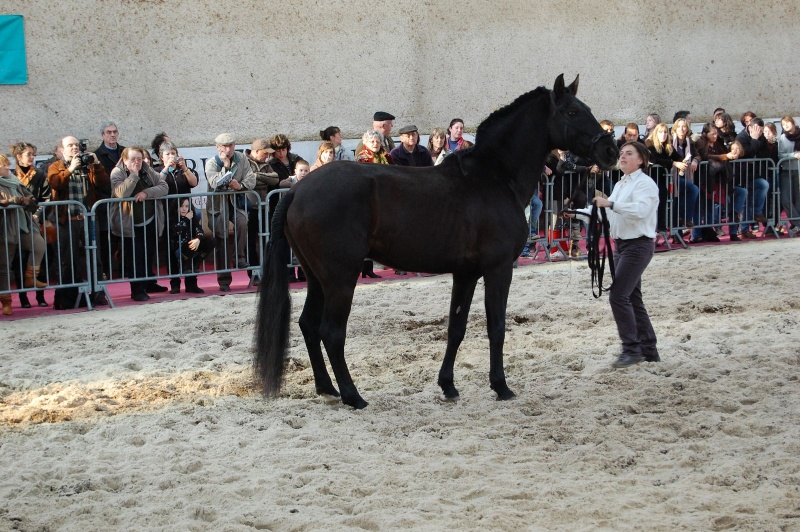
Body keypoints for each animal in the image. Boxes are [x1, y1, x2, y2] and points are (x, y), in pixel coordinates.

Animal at [256, 74, 620, 408]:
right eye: (572, 112)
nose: (610, 150)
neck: (495, 178)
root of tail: (298, 190)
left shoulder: (467, 273)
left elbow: (456, 327)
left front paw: (448, 385)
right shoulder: (498, 269)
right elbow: (497, 326)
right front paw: (501, 386)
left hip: (317, 278)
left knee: (307, 325)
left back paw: (327, 388)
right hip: (341, 278)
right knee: (331, 332)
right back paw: (352, 395)